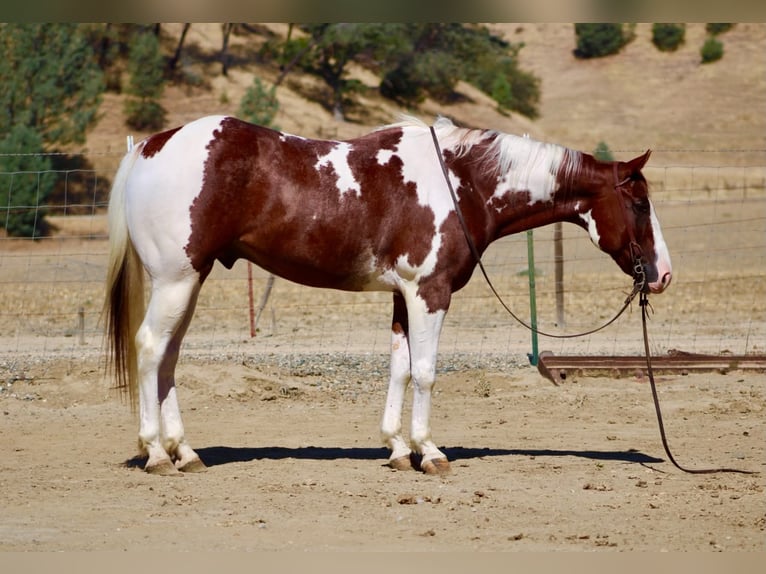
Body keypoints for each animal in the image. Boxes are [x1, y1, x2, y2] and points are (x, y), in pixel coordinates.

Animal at [103, 115, 672, 476]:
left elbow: (399, 368)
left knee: (169, 357)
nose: (663, 274)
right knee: (151, 348)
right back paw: (157, 454)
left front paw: (398, 450)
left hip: (187, 282)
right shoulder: (429, 293)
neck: (462, 182)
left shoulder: (404, 296)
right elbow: (426, 372)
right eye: (639, 202)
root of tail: (151, 146)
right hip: (176, 280)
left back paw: (185, 451)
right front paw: (430, 452)